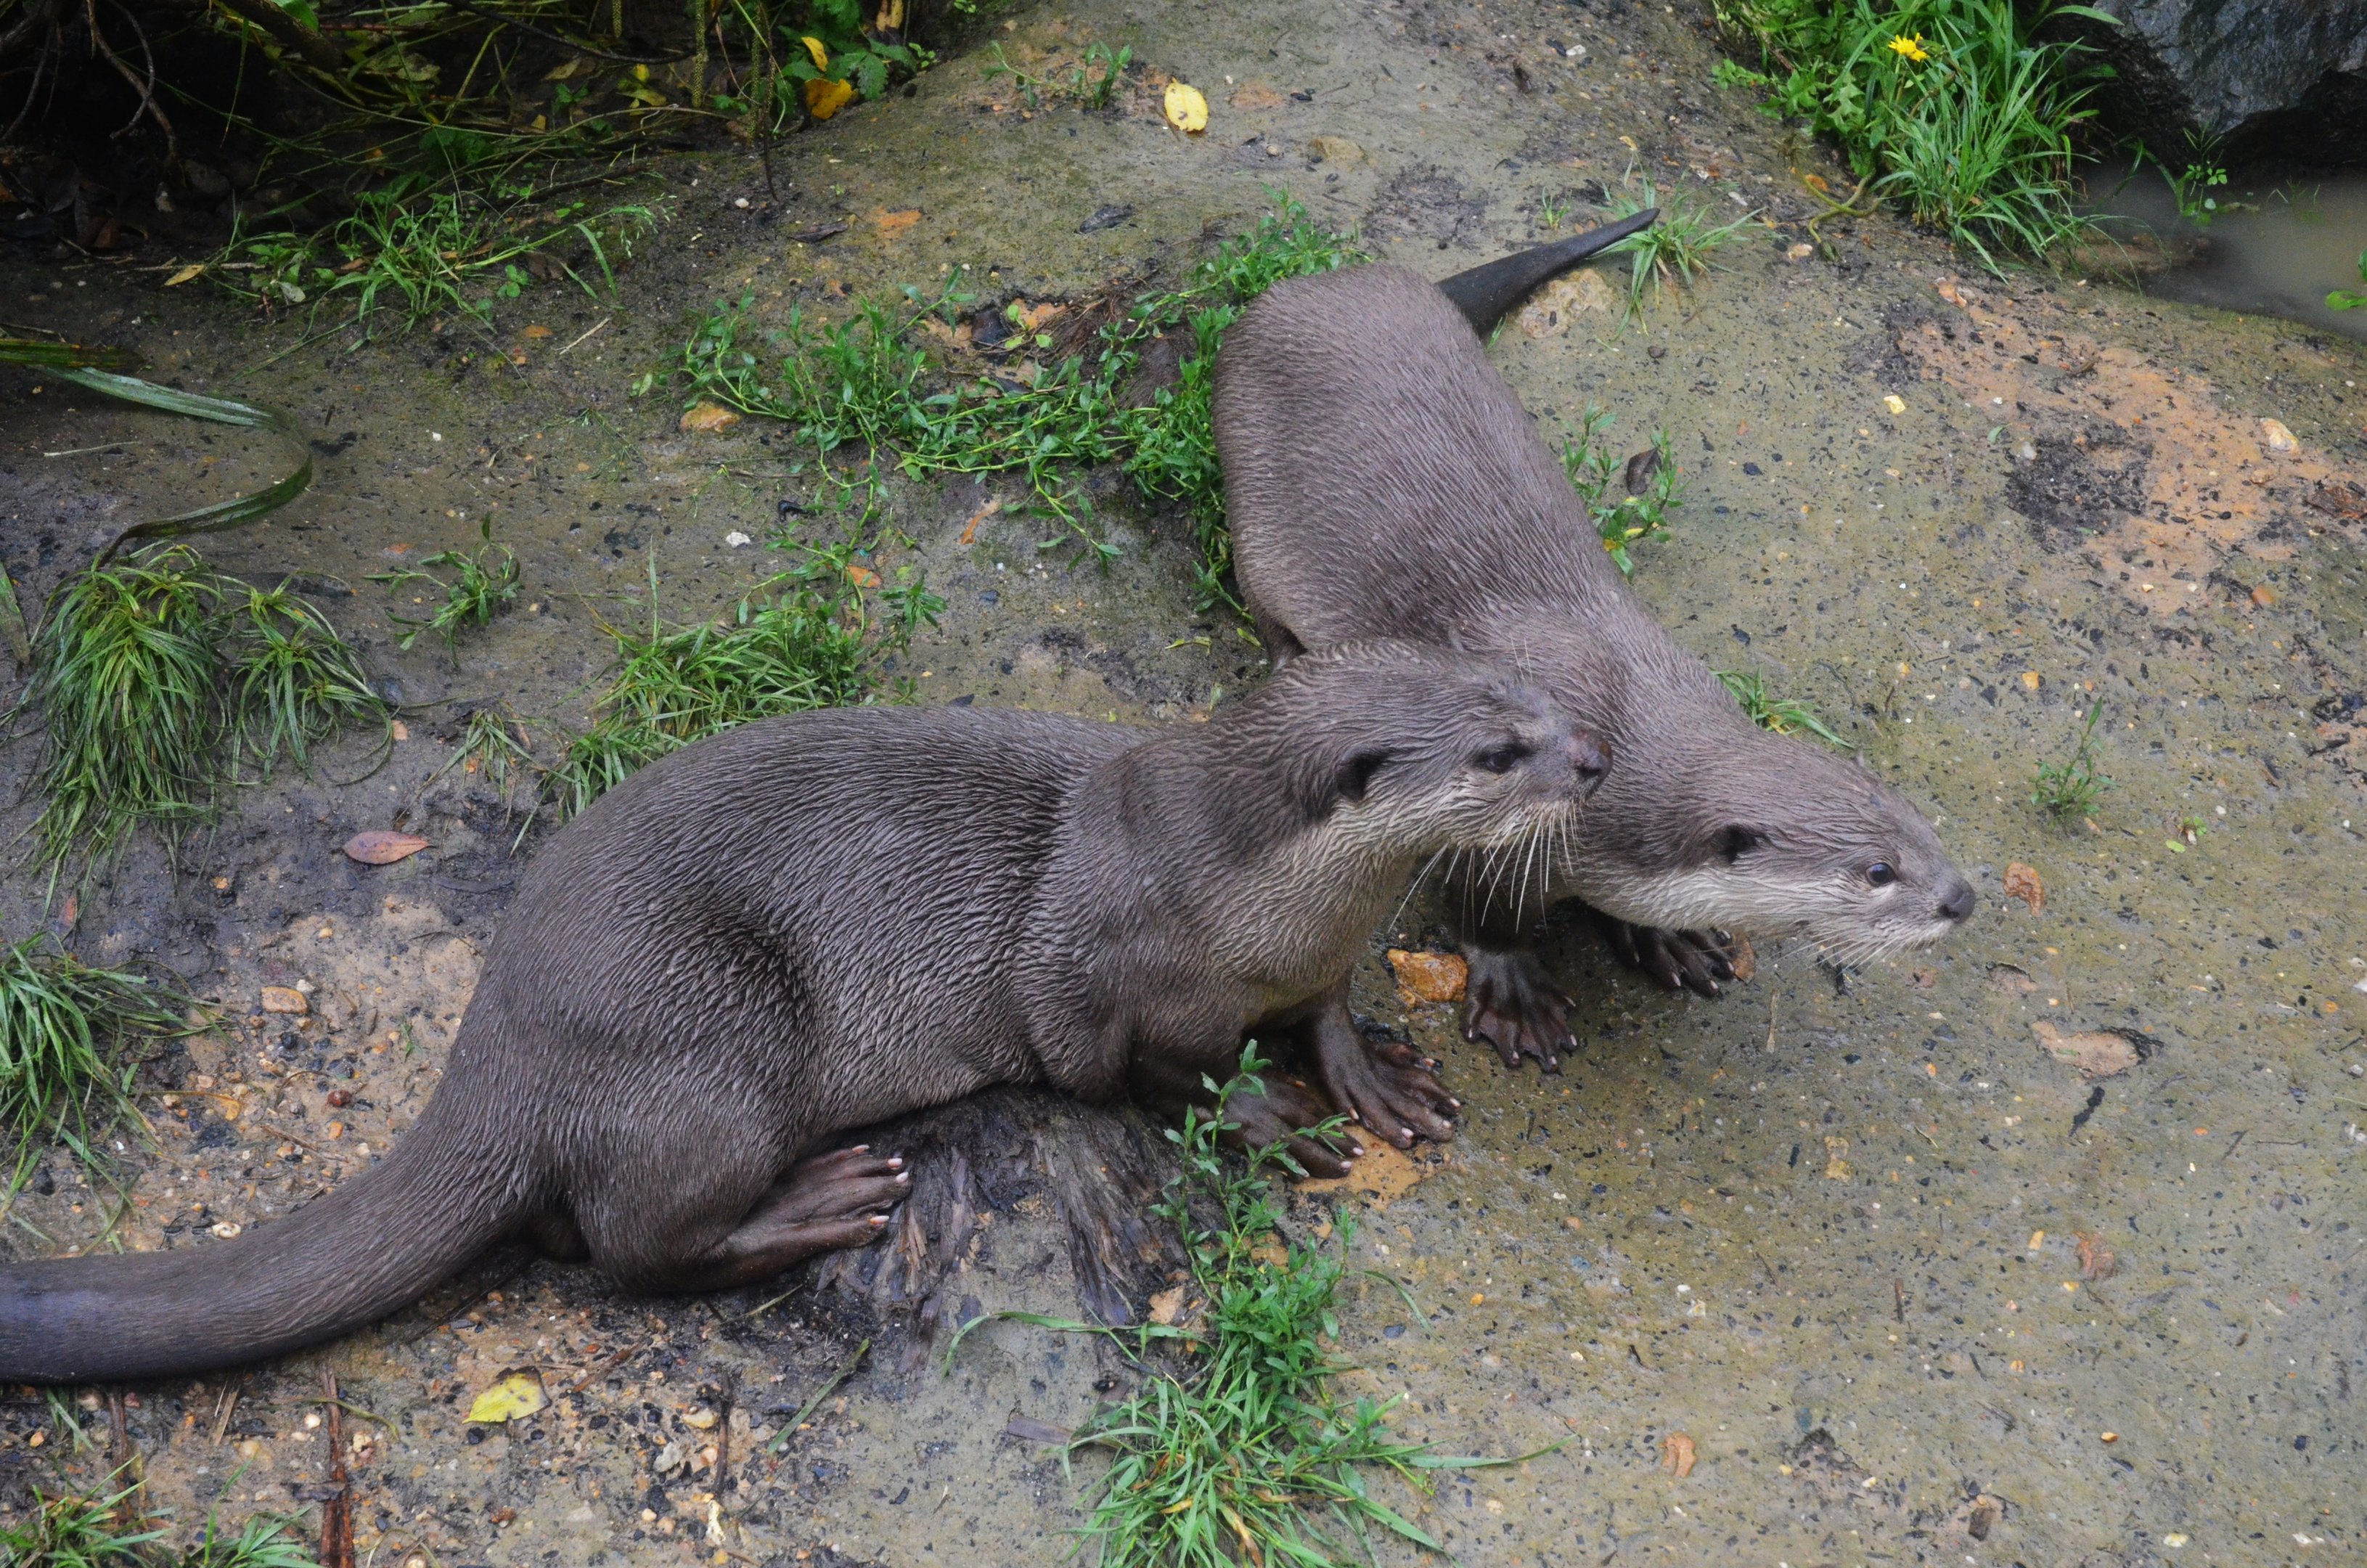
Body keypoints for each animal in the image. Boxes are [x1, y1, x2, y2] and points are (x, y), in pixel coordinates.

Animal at [0, 641, 1603, 1382]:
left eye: (1529, 689)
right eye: (1497, 746)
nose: (1592, 757)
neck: (1253, 896)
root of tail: (498, 1053)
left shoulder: (1318, 956)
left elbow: (1328, 1015)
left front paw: (1374, 1081)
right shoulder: (1116, 988)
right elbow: (1165, 1081)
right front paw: (1272, 1120)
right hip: (710, 1040)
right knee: (627, 1251)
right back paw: (826, 1203)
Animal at [1214, 262, 1975, 1071]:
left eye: (1923, 830)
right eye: (1878, 871)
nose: (1961, 898)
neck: (1627, 763)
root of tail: (1325, 281)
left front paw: (1663, 936)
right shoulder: (1505, 827)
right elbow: (1488, 915)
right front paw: (1516, 995)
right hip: (1255, 519)